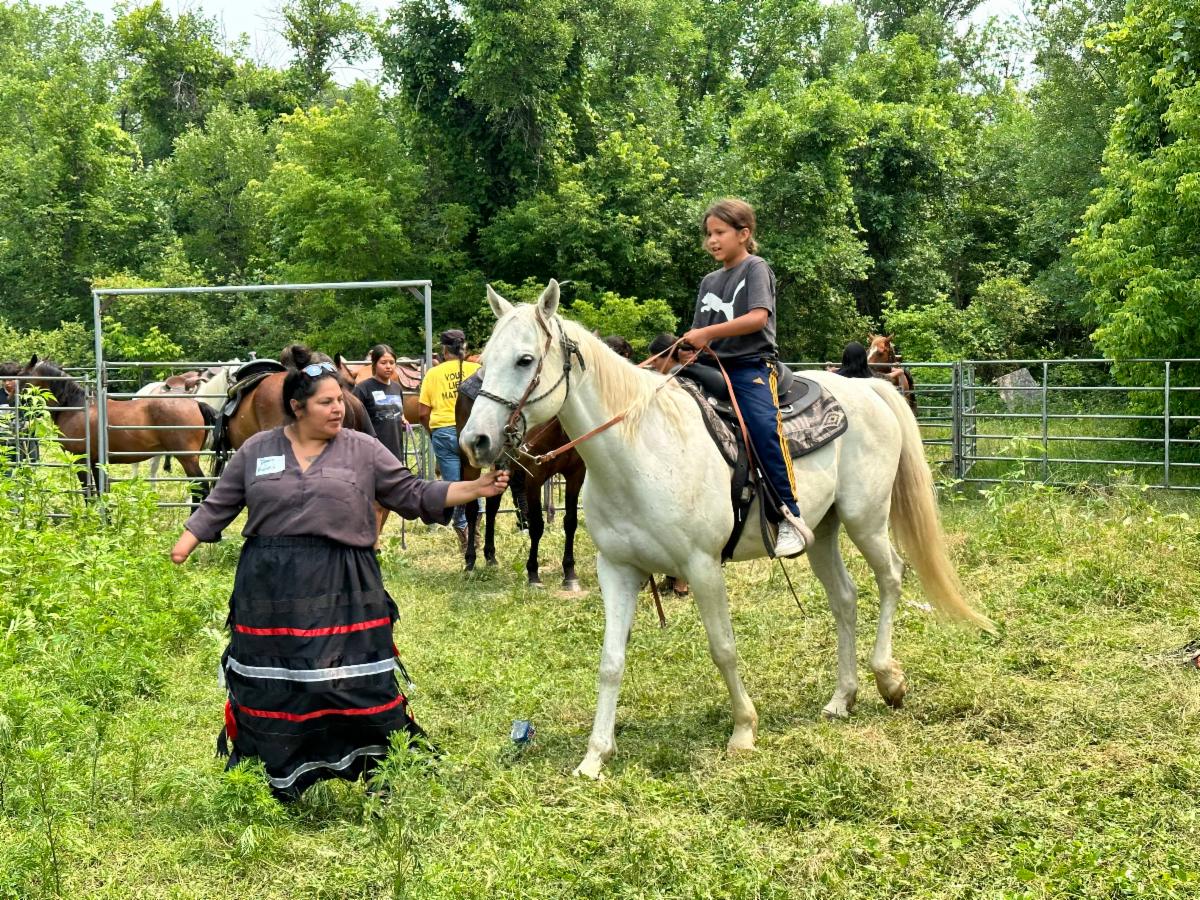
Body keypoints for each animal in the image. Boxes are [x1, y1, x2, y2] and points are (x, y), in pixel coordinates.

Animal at [18, 355, 213, 504]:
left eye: (22, 377)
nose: (17, 405)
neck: (76, 407)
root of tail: (196, 403)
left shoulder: (81, 460)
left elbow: (88, 493)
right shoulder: (96, 462)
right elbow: (100, 492)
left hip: (187, 458)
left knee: (201, 488)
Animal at [453, 388, 585, 592]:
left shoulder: (576, 475)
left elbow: (570, 522)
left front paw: (570, 573)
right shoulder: (534, 476)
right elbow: (537, 525)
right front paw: (533, 574)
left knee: (492, 505)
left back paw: (490, 556)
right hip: (470, 464)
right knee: (472, 509)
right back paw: (470, 561)